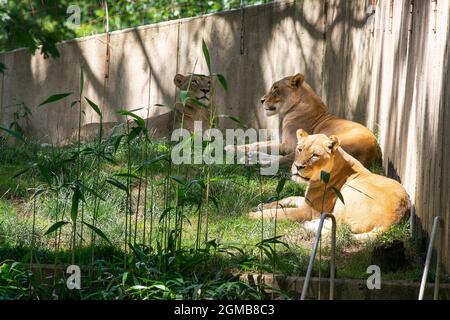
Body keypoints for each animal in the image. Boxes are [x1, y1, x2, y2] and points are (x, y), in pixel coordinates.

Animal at [227, 73, 378, 168]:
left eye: (275, 88)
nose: (261, 100)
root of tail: (370, 153)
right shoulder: (283, 141)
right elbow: (257, 143)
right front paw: (232, 147)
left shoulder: (288, 145)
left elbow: (264, 146)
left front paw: (234, 150)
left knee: (282, 160)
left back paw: (248, 161)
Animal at [250, 129, 412, 238]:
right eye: (299, 149)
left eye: (314, 155)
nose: (297, 166)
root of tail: (393, 220)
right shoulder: (307, 202)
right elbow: (288, 199)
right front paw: (263, 205)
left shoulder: (309, 211)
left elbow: (280, 213)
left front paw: (252, 215)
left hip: (348, 193)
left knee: (340, 226)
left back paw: (310, 225)